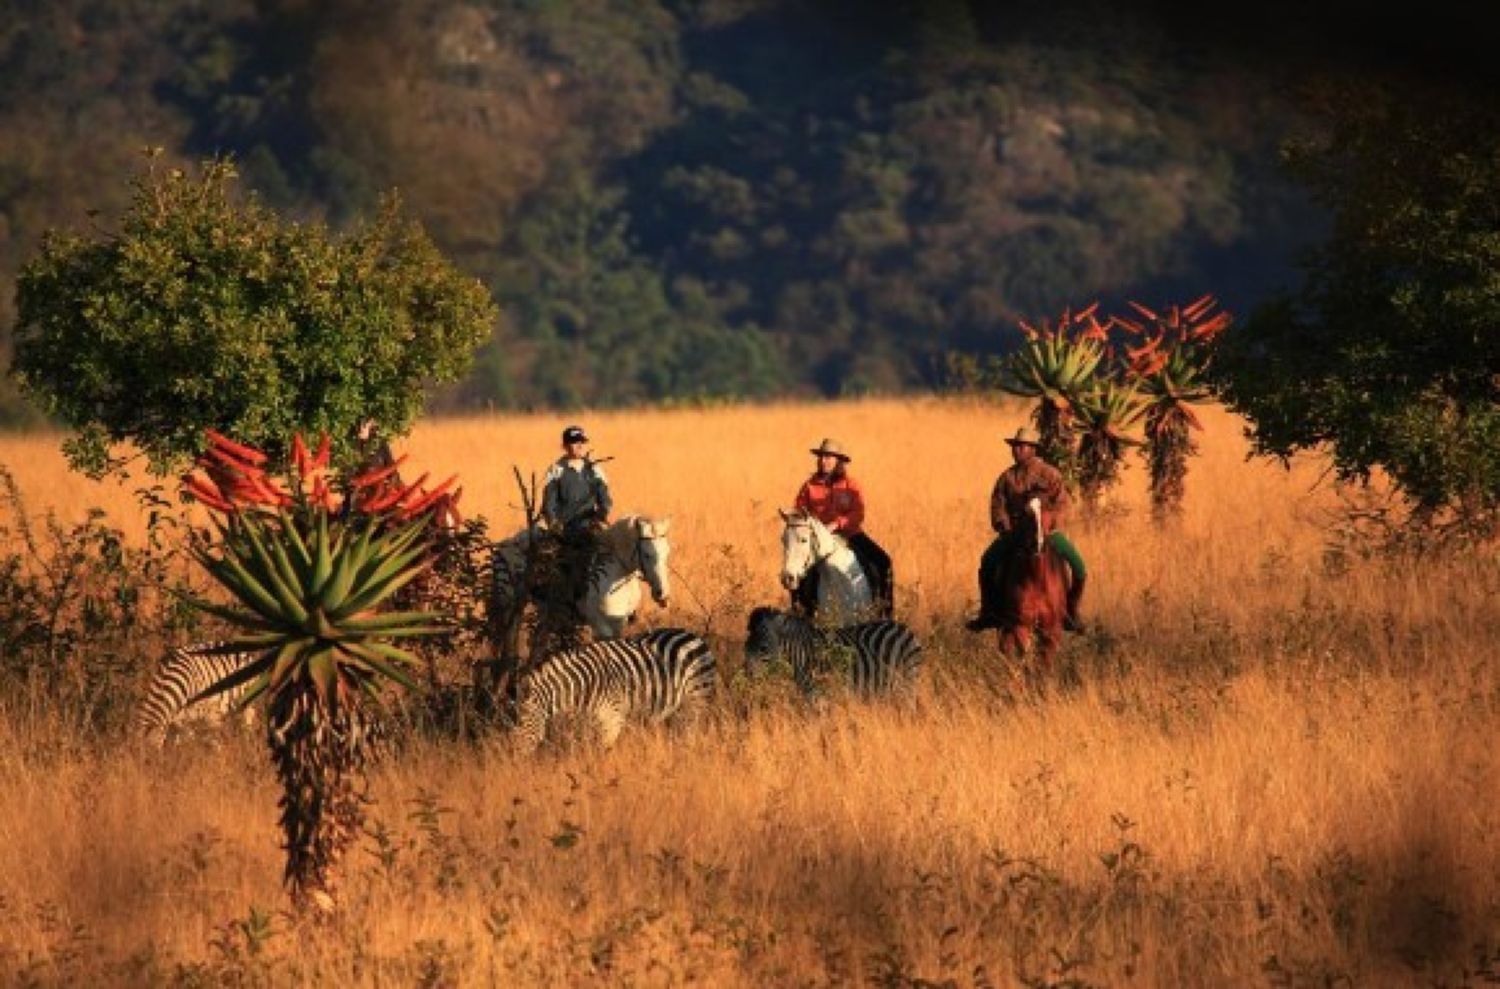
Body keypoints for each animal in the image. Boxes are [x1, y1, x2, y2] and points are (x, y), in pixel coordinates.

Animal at [489, 513, 672, 645]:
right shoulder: (601, 628)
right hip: (509, 604)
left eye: (667, 553)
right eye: (647, 555)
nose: (662, 595)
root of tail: (506, 544)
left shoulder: (619, 624)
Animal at [513, 630, 717, 753]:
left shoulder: (613, 718)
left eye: (522, 722)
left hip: (697, 699)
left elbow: (604, 751)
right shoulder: (593, 720)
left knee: (692, 730)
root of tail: (692, 635)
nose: (515, 758)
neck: (583, 685)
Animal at [741, 606, 918, 699]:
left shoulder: (821, 695)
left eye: (763, 648)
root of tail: (903, 627)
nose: (747, 675)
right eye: (745, 648)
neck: (803, 657)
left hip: (907, 678)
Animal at [996, 495, 1068, 672]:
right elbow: (1027, 657)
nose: (1038, 544)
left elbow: (1046, 660)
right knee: (1006, 650)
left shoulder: (1051, 628)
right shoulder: (1021, 625)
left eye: (1048, 508)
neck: (1037, 580)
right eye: (1025, 513)